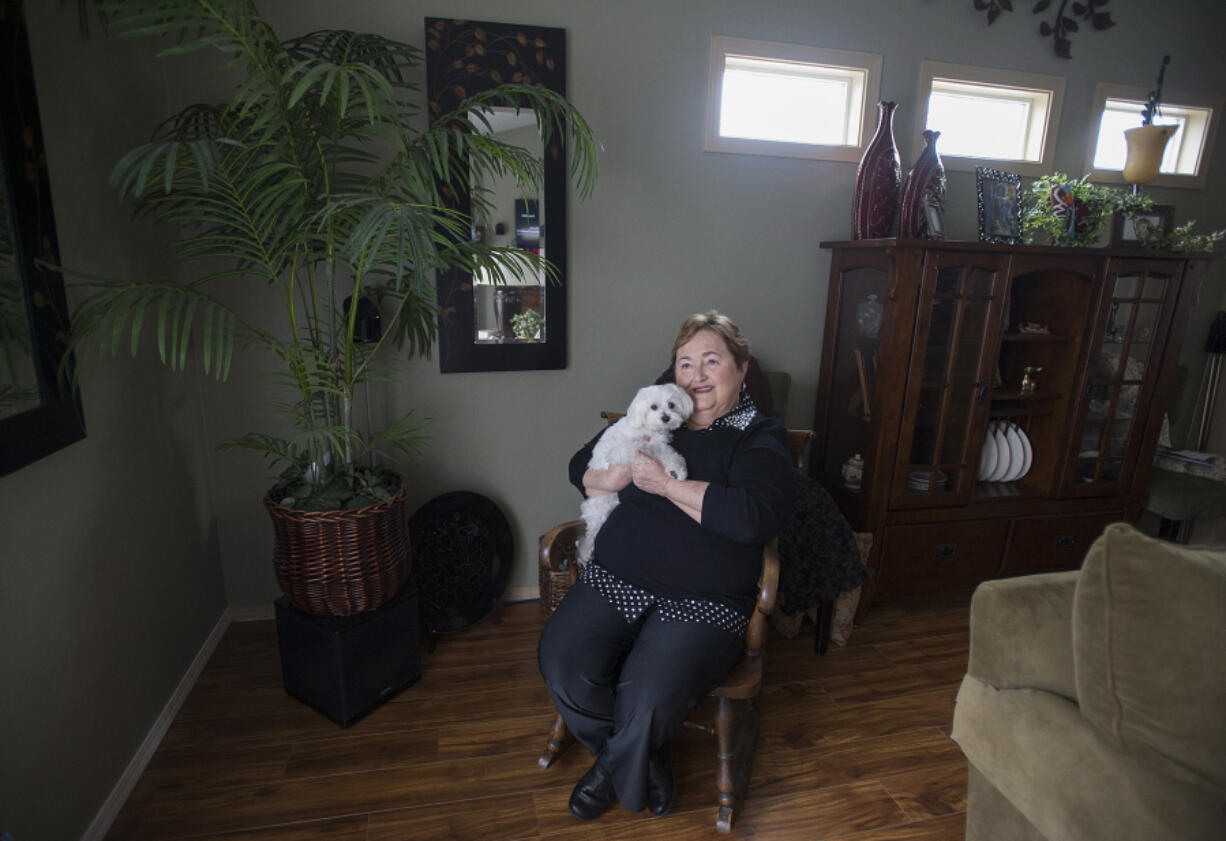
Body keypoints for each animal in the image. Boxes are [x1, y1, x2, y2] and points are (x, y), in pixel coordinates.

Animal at [573, 384, 691, 568]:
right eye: (653, 407)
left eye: (671, 405)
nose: (665, 417)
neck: (647, 427)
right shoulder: (619, 452)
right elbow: (637, 447)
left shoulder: (660, 447)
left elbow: (669, 454)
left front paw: (675, 469)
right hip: (599, 509)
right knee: (589, 536)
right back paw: (585, 554)